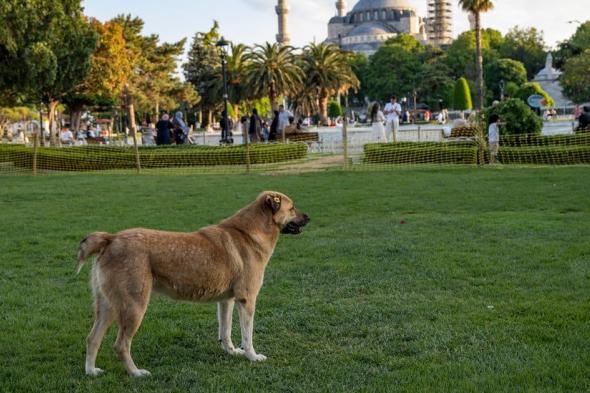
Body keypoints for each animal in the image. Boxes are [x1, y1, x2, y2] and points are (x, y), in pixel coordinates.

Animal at [76, 191, 312, 376]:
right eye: (292, 207)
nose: (309, 217)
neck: (248, 233)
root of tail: (111, 238)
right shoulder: (247, 300)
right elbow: (248, 336)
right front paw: (252, 357)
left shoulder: (226, 300)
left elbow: (225, 331)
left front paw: (231, 352)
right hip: (133, 307)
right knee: (120, 345)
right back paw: (136, 373)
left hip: (108, 306)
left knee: (92, 339)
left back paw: (91, 371)